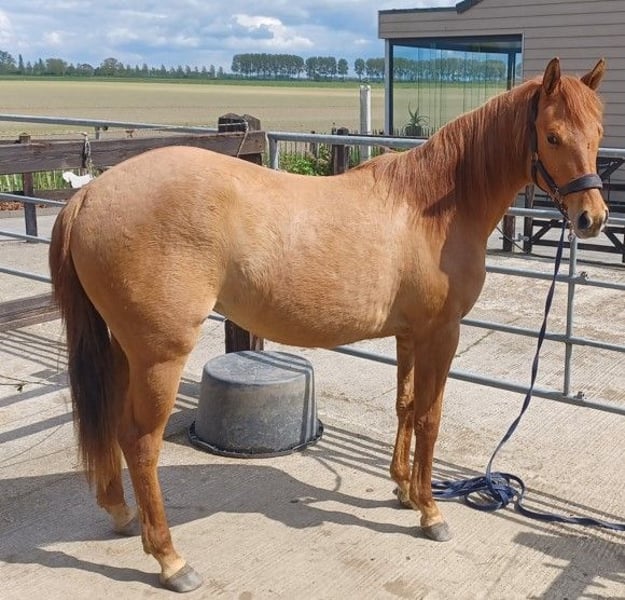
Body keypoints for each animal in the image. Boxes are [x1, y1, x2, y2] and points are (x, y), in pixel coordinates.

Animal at [49, 58, 608, 592]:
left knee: (115, 426)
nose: (593, 218)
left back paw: (122, 513)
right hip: (159, 356)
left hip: (126, 350)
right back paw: (170, 560)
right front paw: (431, 511)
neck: (435, 207)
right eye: (552, 136)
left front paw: (403, 490)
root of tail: (90, 195)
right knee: (141, 443)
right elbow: (430, 417)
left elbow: (406, 407)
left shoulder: (410, 335)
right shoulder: (440, 334)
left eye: (598, 132)